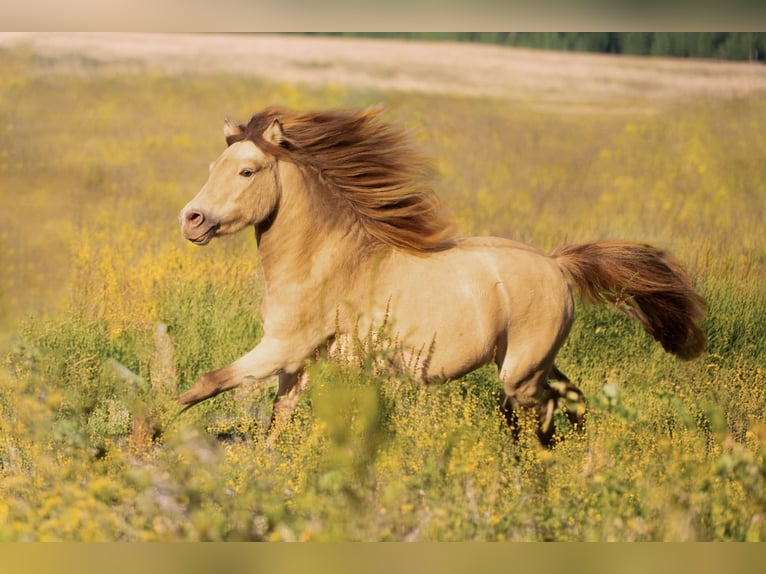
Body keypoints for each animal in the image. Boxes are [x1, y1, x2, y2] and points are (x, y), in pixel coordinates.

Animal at [178, 106, 706, 445]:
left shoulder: (280, 349)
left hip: (520, 372)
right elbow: (276, 421)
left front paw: (158, 428)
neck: (324, 261)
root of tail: (556, 264)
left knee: (539, 410)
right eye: (213, 165)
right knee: (571, 400)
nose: (192, 220)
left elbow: (205, 384)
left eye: (247, 171)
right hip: (529, 361)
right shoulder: (296, 360)